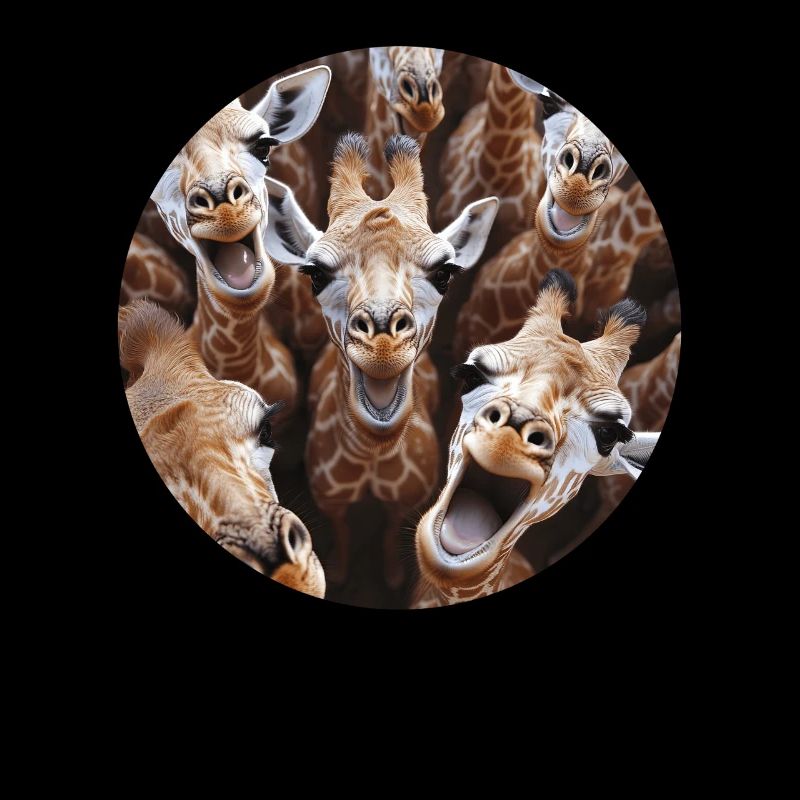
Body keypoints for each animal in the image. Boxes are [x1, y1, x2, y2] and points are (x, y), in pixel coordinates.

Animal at [263, 132, 498, 589]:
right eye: (315, 273)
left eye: (444, 272)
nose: (384, 344)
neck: (372, 457)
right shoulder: (331, 500)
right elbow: (341, 530)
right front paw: (339, 572)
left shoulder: (404, 501)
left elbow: (391, 531)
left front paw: (391, 577)